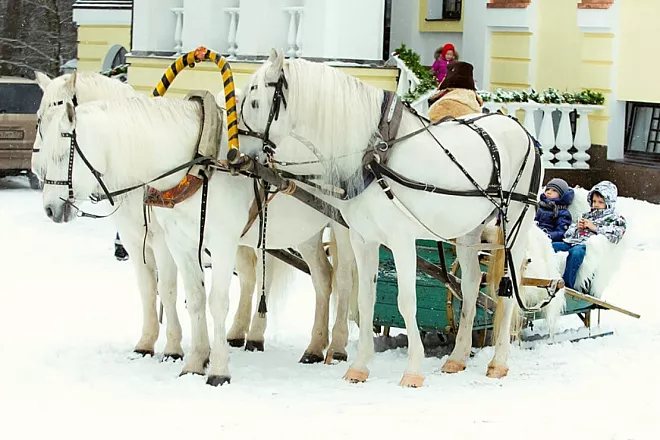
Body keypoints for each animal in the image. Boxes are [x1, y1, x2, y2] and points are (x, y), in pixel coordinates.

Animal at [240, 51, 544, 386]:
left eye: (254, 102)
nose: (239, 154)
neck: (375, 155)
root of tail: (523, 132)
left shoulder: (401, 240)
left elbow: (406, 301)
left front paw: (413, 370)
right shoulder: (363, 239)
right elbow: (365, 299)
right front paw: (359, 367)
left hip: (516, 223)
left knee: (508, 291)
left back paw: (499, 361)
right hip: (468, 230)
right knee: (470, 285)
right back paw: (457, 357)